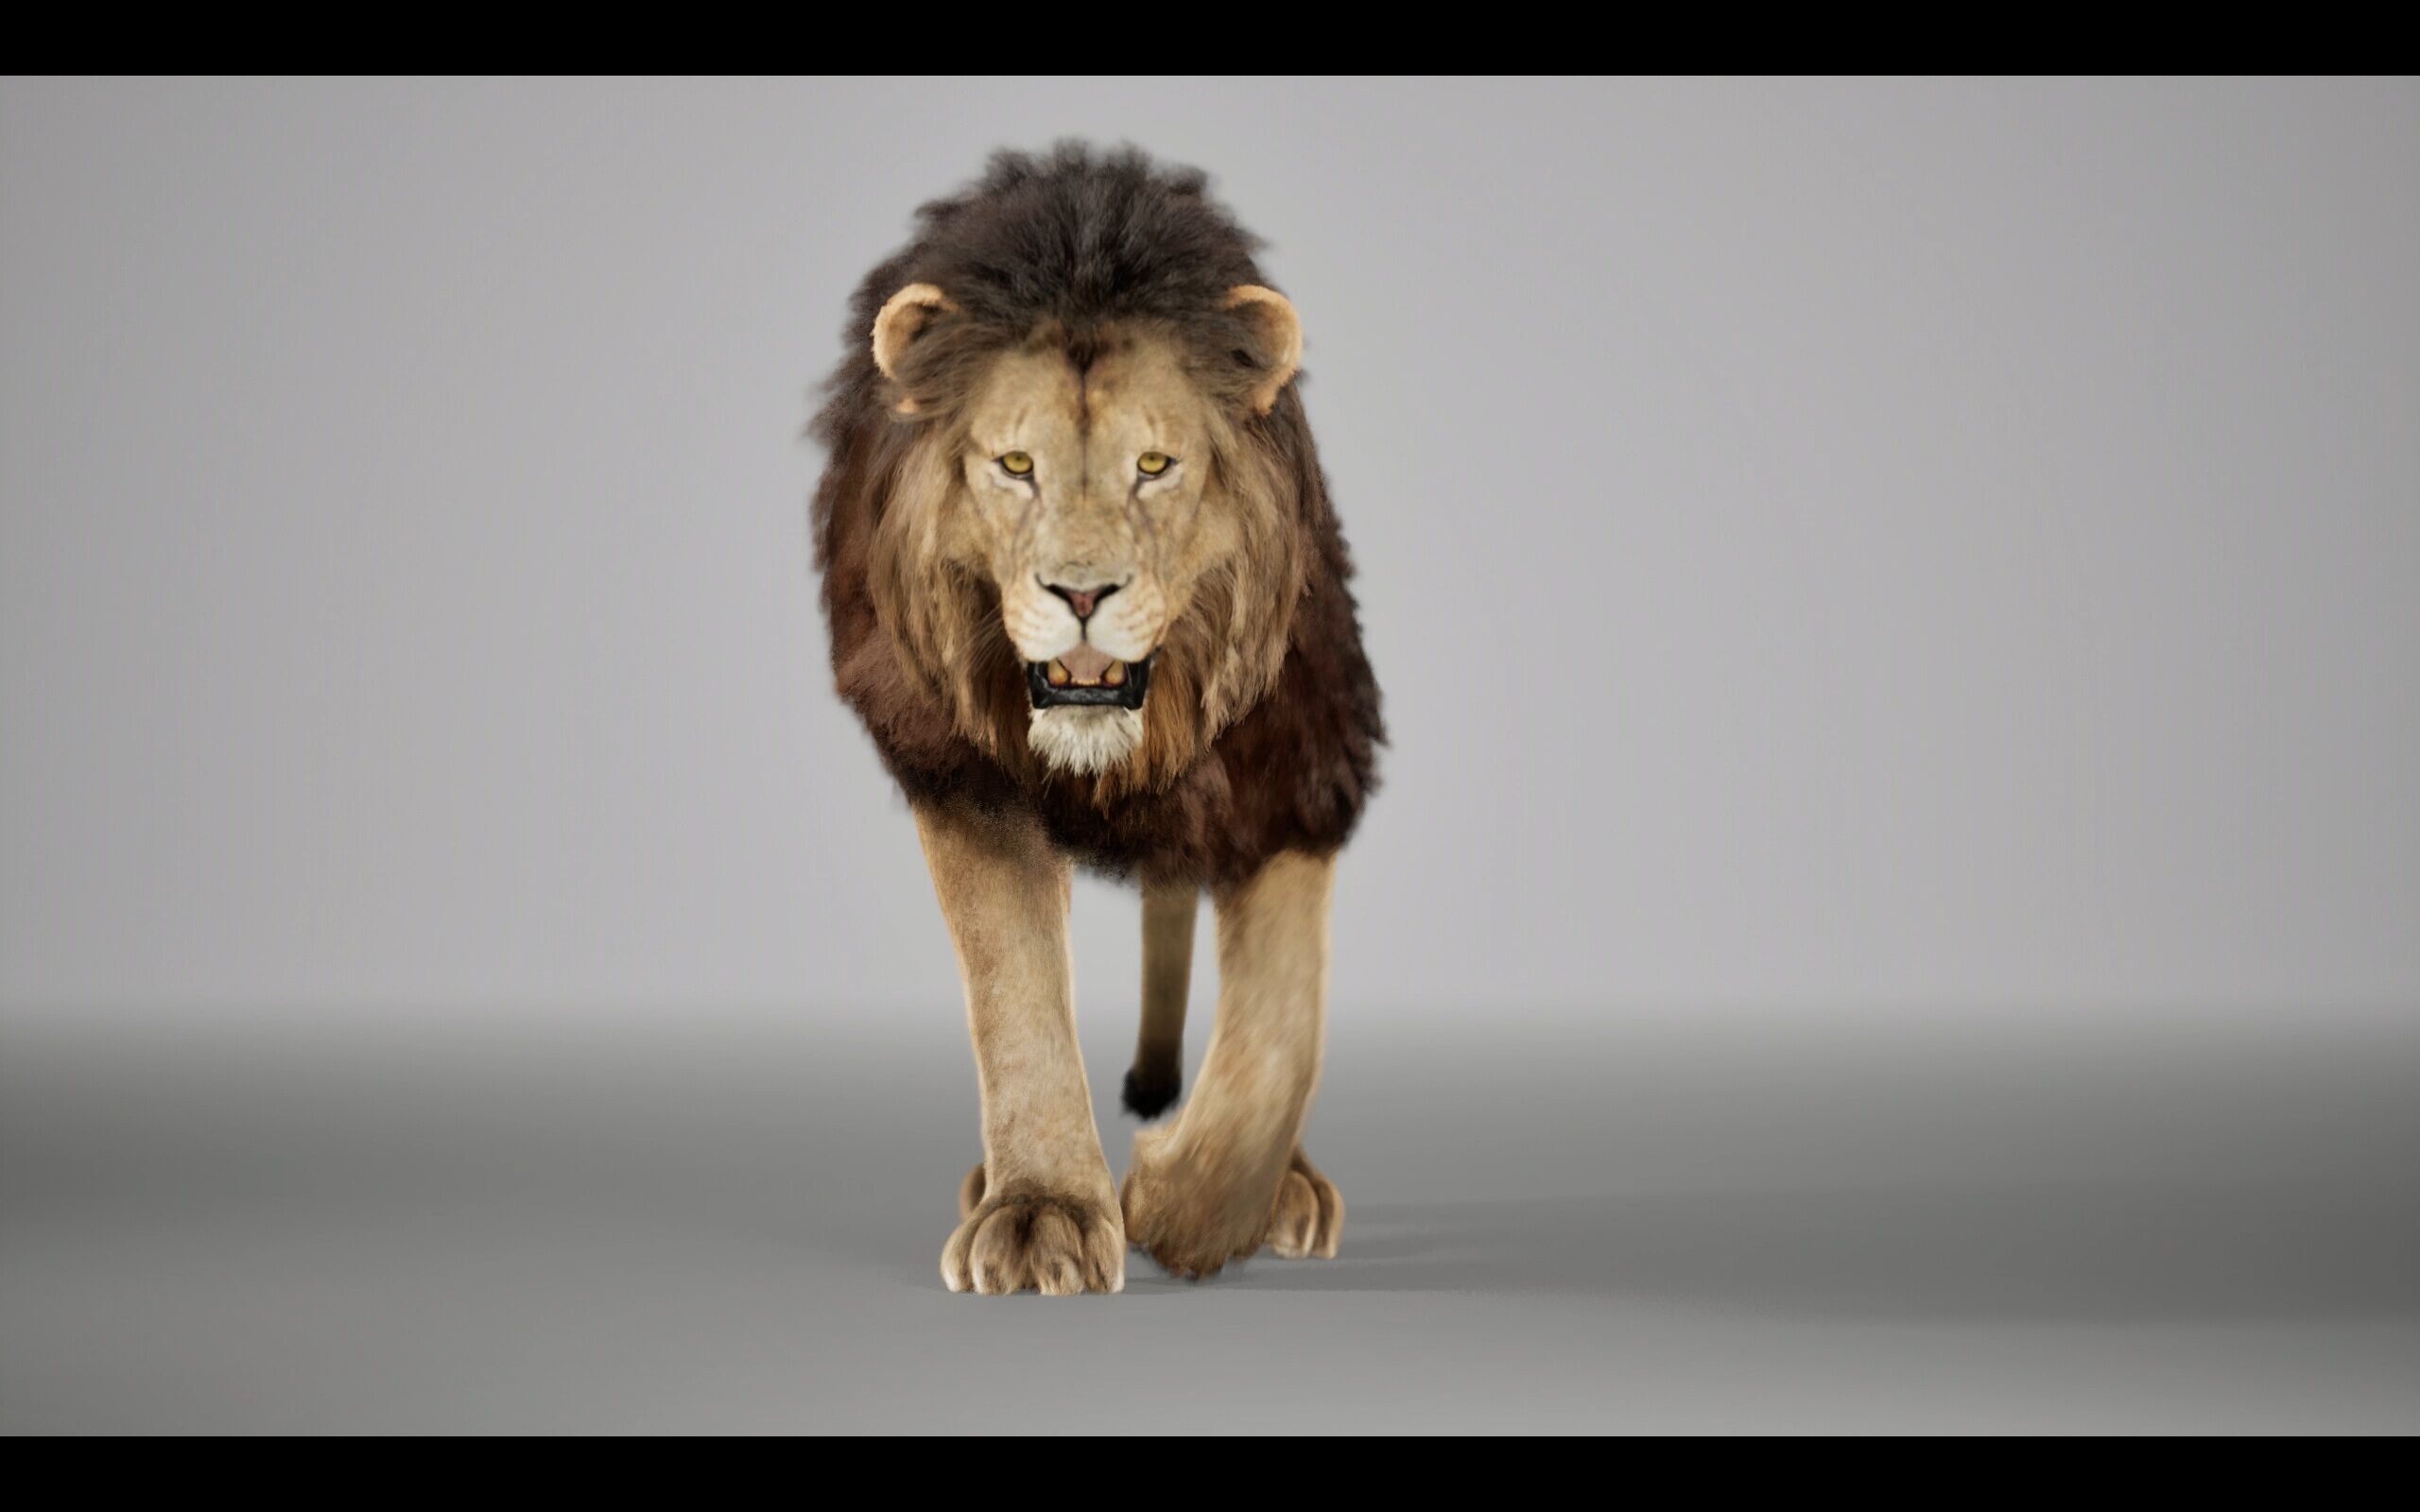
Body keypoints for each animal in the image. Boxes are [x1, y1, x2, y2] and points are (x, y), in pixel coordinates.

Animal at [809, 145, 1383, 1293]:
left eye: (1154, 467)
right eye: (1014, 465)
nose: (1081, 594)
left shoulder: (1299, 759)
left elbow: (1282, 1029)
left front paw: (1181, 1203)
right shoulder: (966, 774)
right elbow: (1016, 992)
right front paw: (1044, 1210)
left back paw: (1285, 1189)